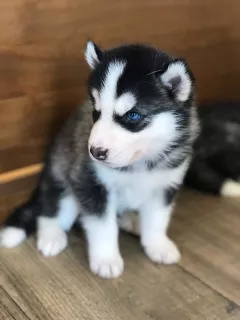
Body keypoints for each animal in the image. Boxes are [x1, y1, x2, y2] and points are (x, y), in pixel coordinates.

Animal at [0, 42, 199, 278]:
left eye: (133, 115)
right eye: (96, 111)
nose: (95, 152)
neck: (139, 163)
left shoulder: (165, 186)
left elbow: (157, 219)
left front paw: (158, 245)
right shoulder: (91, 183)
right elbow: (103, 226)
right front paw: (106, 259)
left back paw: (132, 221)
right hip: (63, 180)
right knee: (50, 211)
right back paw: (52, 236)